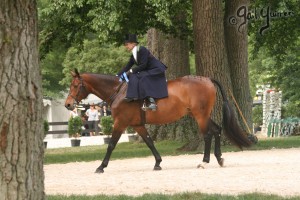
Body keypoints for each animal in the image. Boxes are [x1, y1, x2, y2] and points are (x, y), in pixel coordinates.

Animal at [65, 69, 251, 173]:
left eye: (75, 86)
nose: (68, 104)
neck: (119, 92)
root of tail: (206, 79)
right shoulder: (137, 125)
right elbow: (149, 142)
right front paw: (158, 163)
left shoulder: (120, 123)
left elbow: (111, 144)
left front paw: (101, 166)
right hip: (201, 115)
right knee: (217, 130)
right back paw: (219, 158)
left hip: (200, 116)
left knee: (208, 135)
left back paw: (204, 161)